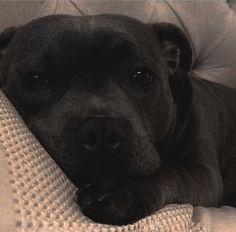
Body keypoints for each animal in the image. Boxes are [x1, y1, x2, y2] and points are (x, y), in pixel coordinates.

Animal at [0, 14, 236, 225]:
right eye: (35, 78)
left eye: (142, 76)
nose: (101, 130)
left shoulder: (203, 173)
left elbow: (172, 171)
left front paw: (122, 189)